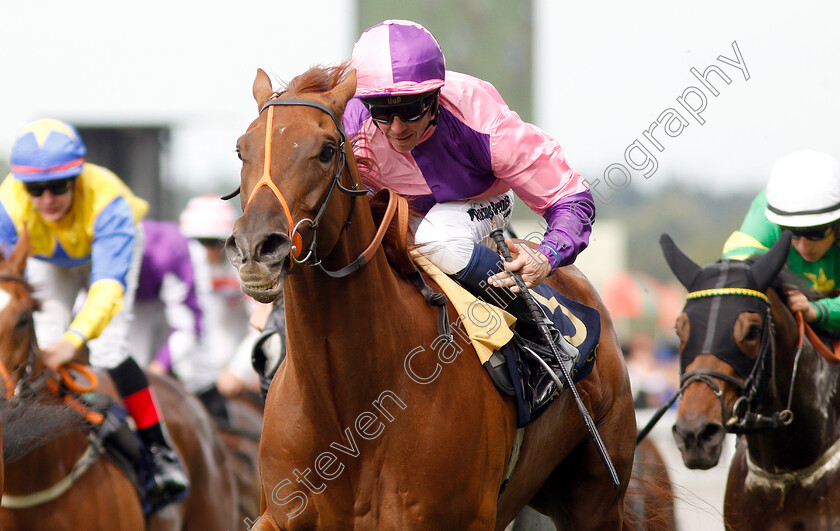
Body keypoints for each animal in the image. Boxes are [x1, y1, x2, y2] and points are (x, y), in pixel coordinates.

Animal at [226, 64, 640, 528]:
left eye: (327, 150)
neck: (349, 412)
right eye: (242, 150)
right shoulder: (279, 513)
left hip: (596, 497)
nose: (257, 248)